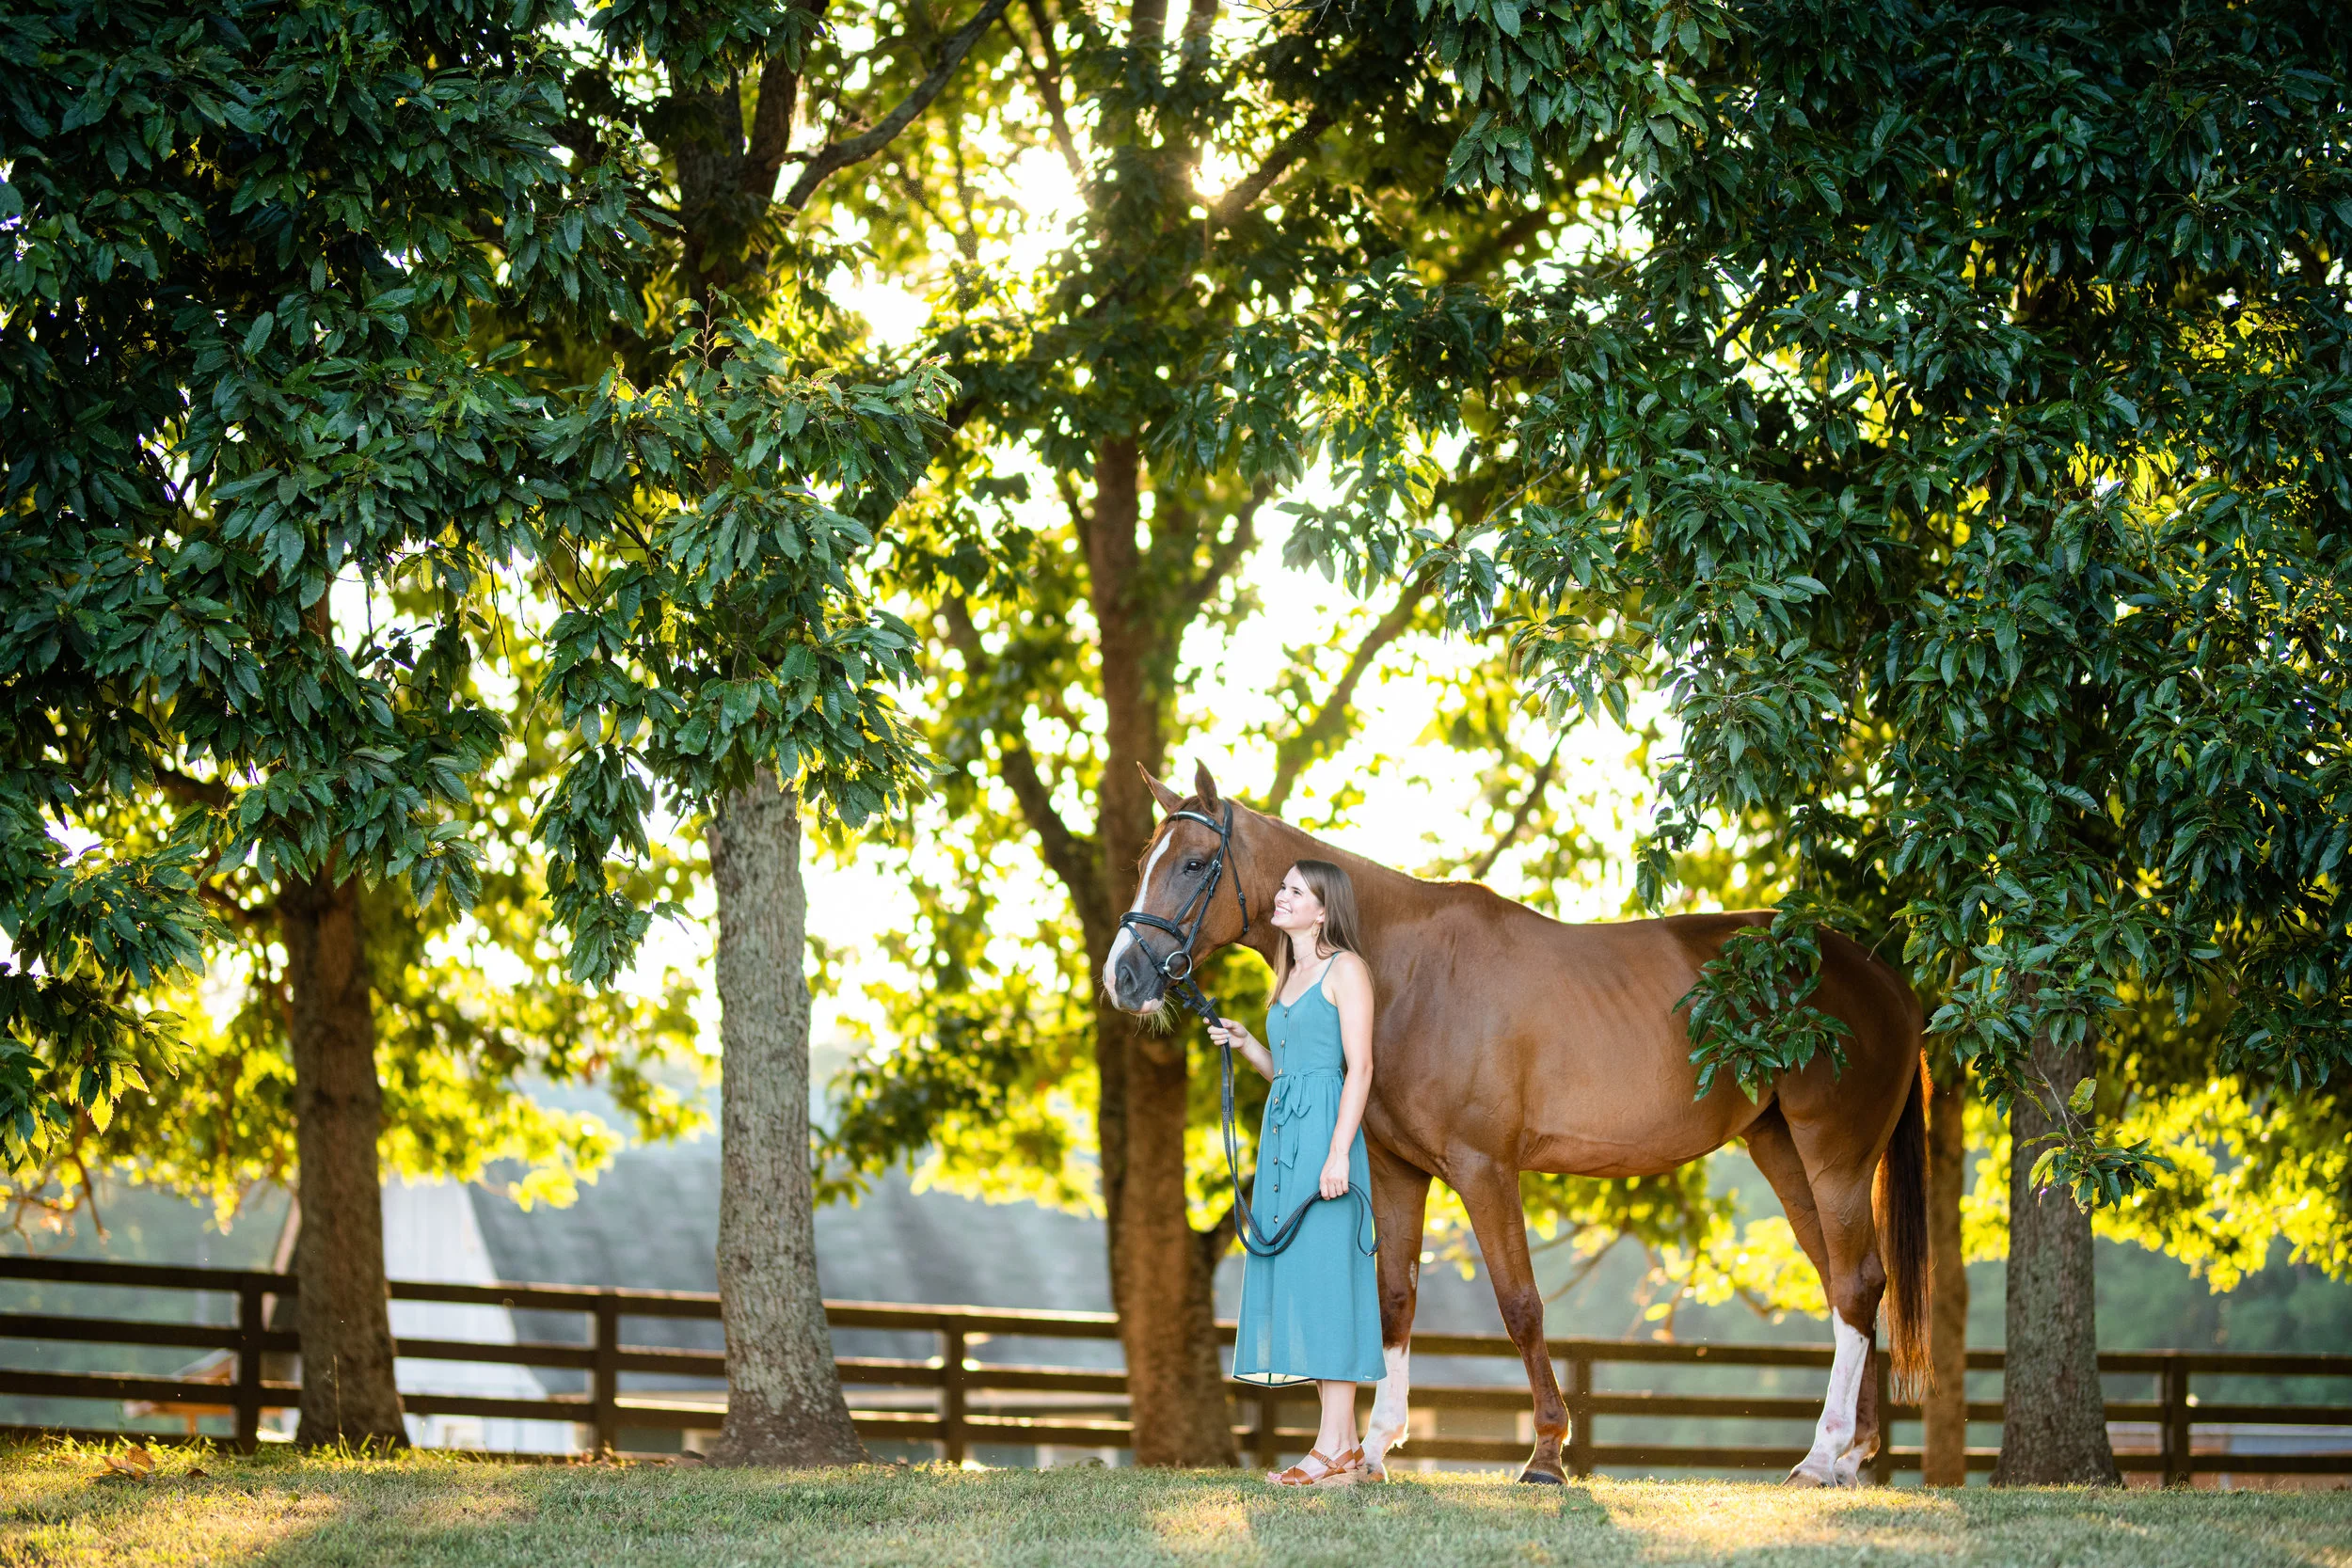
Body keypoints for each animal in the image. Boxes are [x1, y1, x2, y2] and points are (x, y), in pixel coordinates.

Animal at [1102, 762, 1928, 1487]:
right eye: (1145, 861)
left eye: (1195, 863)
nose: (1123, 977)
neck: (1406, 969)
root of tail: (1880, 973)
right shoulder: (1398, 1171)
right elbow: (1394, 1299)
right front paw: (1373, 1450)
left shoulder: (1484, 1168)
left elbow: (1521, 1304)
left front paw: (1546, 1455)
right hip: (1784, 1153)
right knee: (1845, 1286)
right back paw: (1851, 1454)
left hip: (1834, 1157)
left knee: (1856, 1283)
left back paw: (1821, 1456)